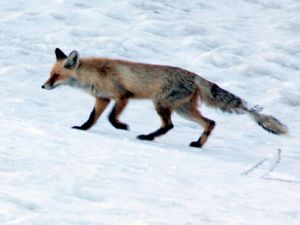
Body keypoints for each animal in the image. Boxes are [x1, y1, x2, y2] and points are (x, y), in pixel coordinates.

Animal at [41, 48, 288, 148]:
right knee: (210, 122)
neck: (94, 74)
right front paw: (82, 129)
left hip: (161, 104)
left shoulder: (122, 96)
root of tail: (195, 76)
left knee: (169, 126)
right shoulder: (103, 99)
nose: (43, 86)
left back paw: (148, 137)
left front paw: (122, 126)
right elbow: (92, 119)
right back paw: (198, 144)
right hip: (183, 109)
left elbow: (111, 118)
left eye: (56, 75)